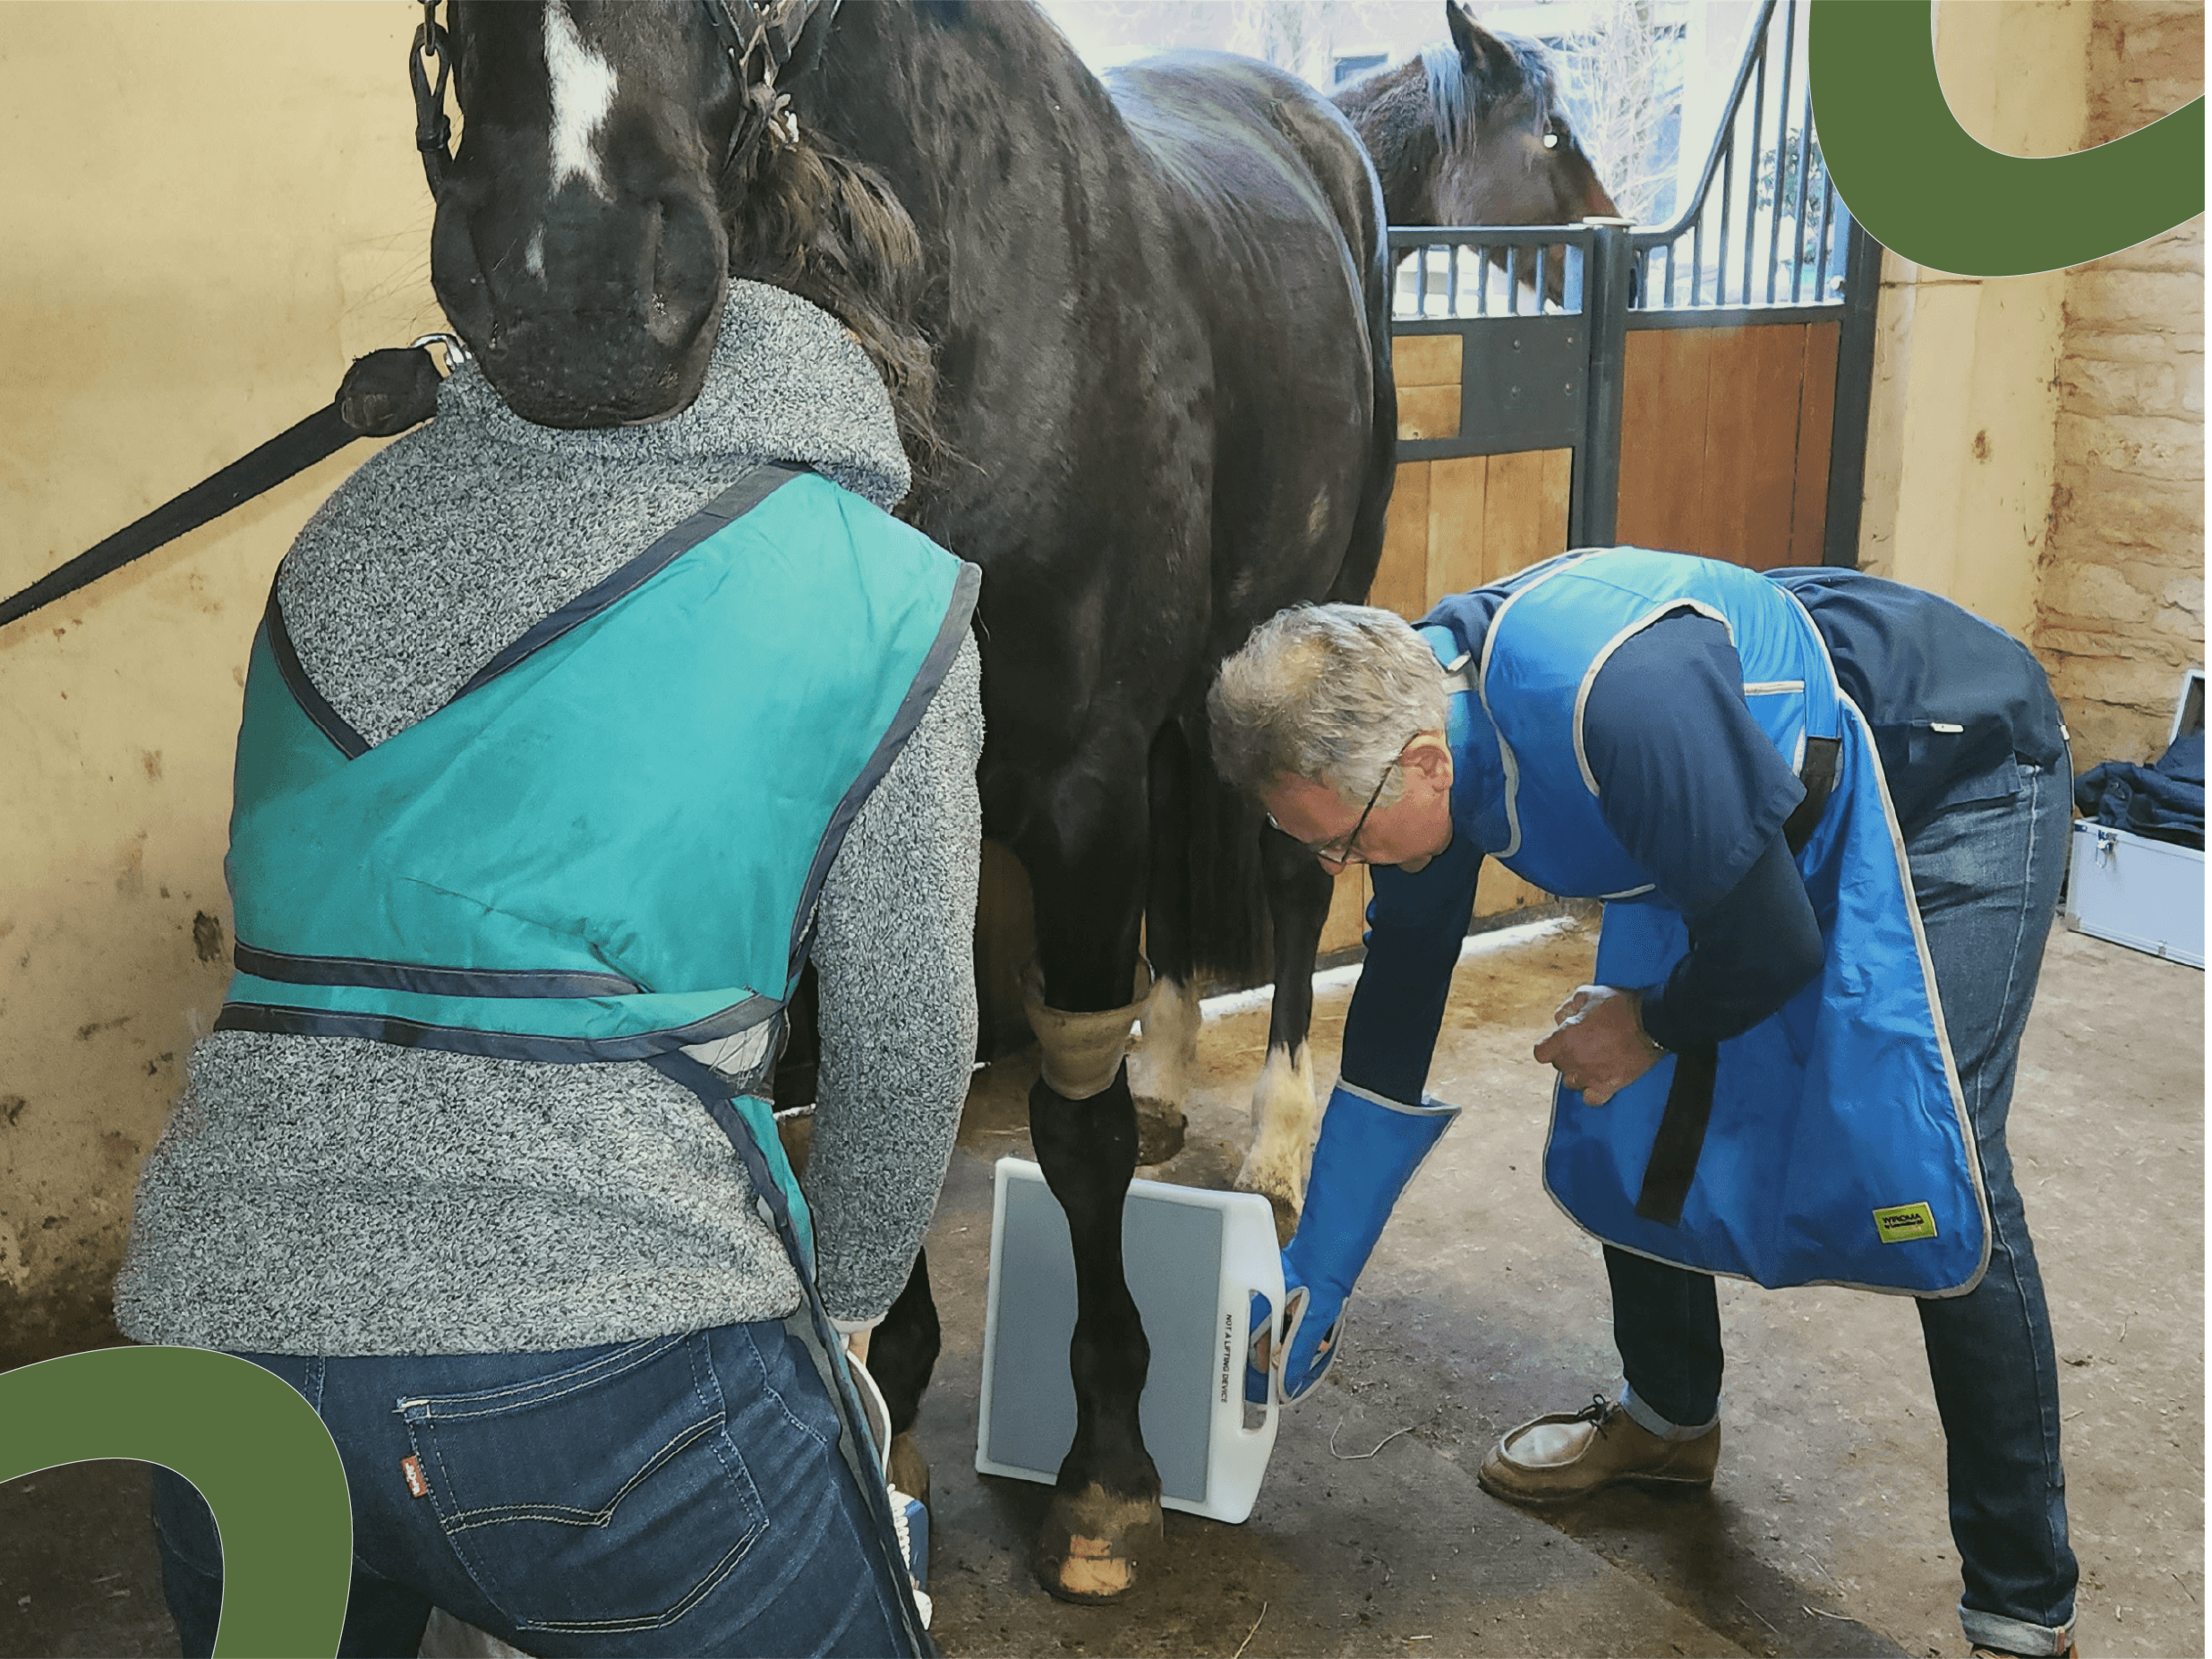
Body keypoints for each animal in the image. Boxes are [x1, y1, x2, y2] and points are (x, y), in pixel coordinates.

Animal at [422, 0, 1394, 1603]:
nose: (579, 291)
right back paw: (1176, 1076)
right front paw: (896, 1406)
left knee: (1290, 877)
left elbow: (1068, 1132)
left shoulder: (1075, 788)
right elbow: (864, 1096)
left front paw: (1106, 1472)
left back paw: (1277, 1140)